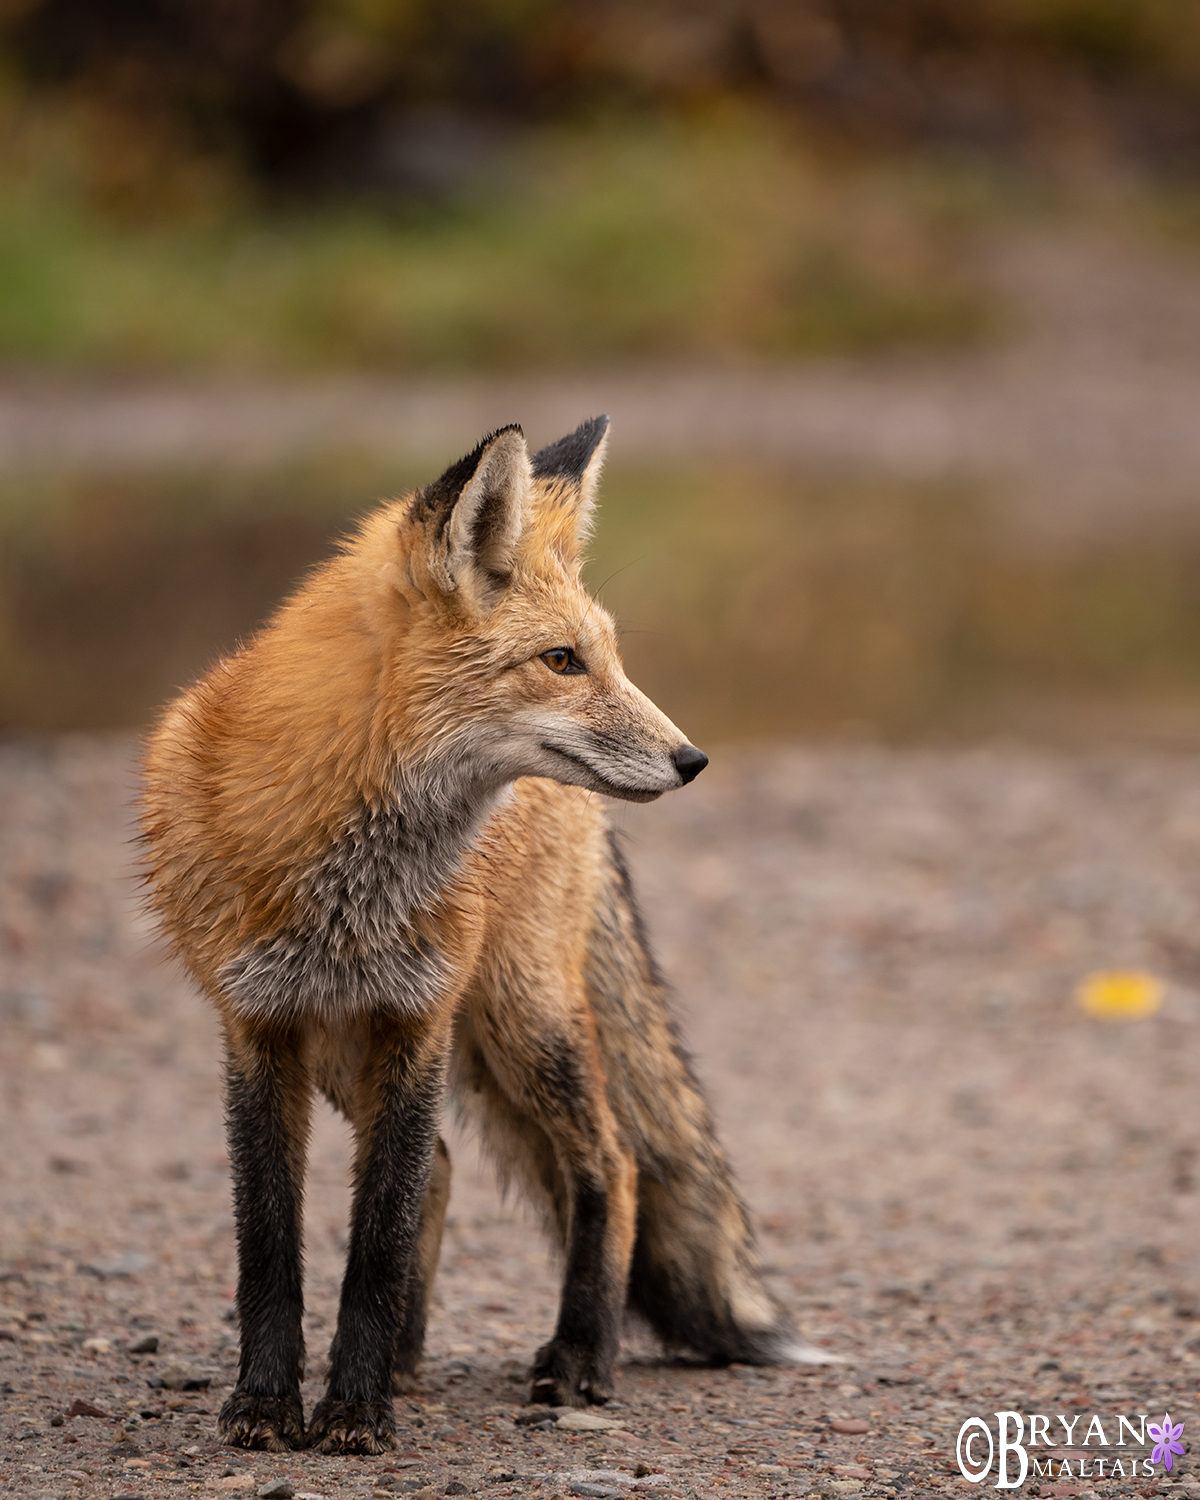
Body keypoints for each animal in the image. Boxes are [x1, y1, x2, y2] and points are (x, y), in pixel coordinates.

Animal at [141, 420, 804, 1452]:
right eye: (562, 661)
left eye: (609, 657)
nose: (692, 759)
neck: (347, 876)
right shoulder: (258, 1027)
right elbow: (273, 1246)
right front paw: (269, 1402)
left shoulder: (418, 1020)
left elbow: (376, 1239)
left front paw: (355, 1412)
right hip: (356, 1051)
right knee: (448, 1170)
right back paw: (408, 1358)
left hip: (520, 1022)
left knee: (612, 1162)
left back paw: (580, 1356)